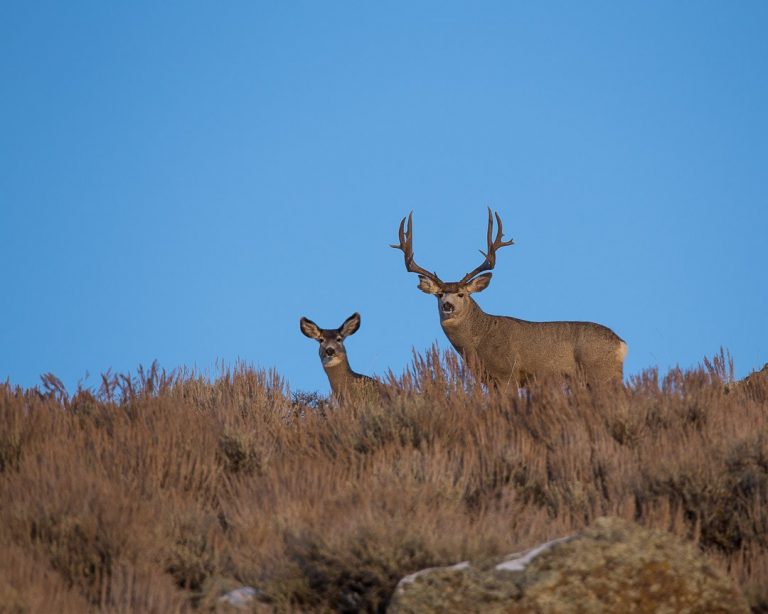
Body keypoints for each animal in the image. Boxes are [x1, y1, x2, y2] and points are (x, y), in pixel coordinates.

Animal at [392, 209, 628, 388]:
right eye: (439, 294)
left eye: (461, 293)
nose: (447, 305)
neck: (478, 341)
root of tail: (621, 344)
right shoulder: (488, 380)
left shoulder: (507, 374)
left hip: (601, 373)